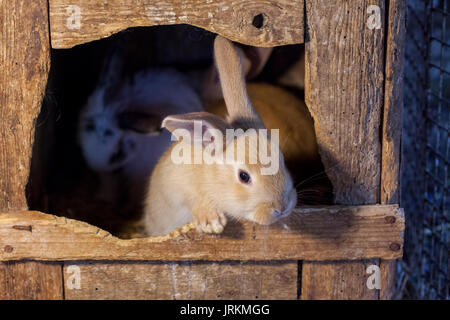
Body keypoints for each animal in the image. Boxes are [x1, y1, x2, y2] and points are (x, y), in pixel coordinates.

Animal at [144, 37, 298, 238]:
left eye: (282, 159)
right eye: (244, 177)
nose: (282, 207)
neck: (210, 176)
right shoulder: (179, 189)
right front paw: (211, 222)